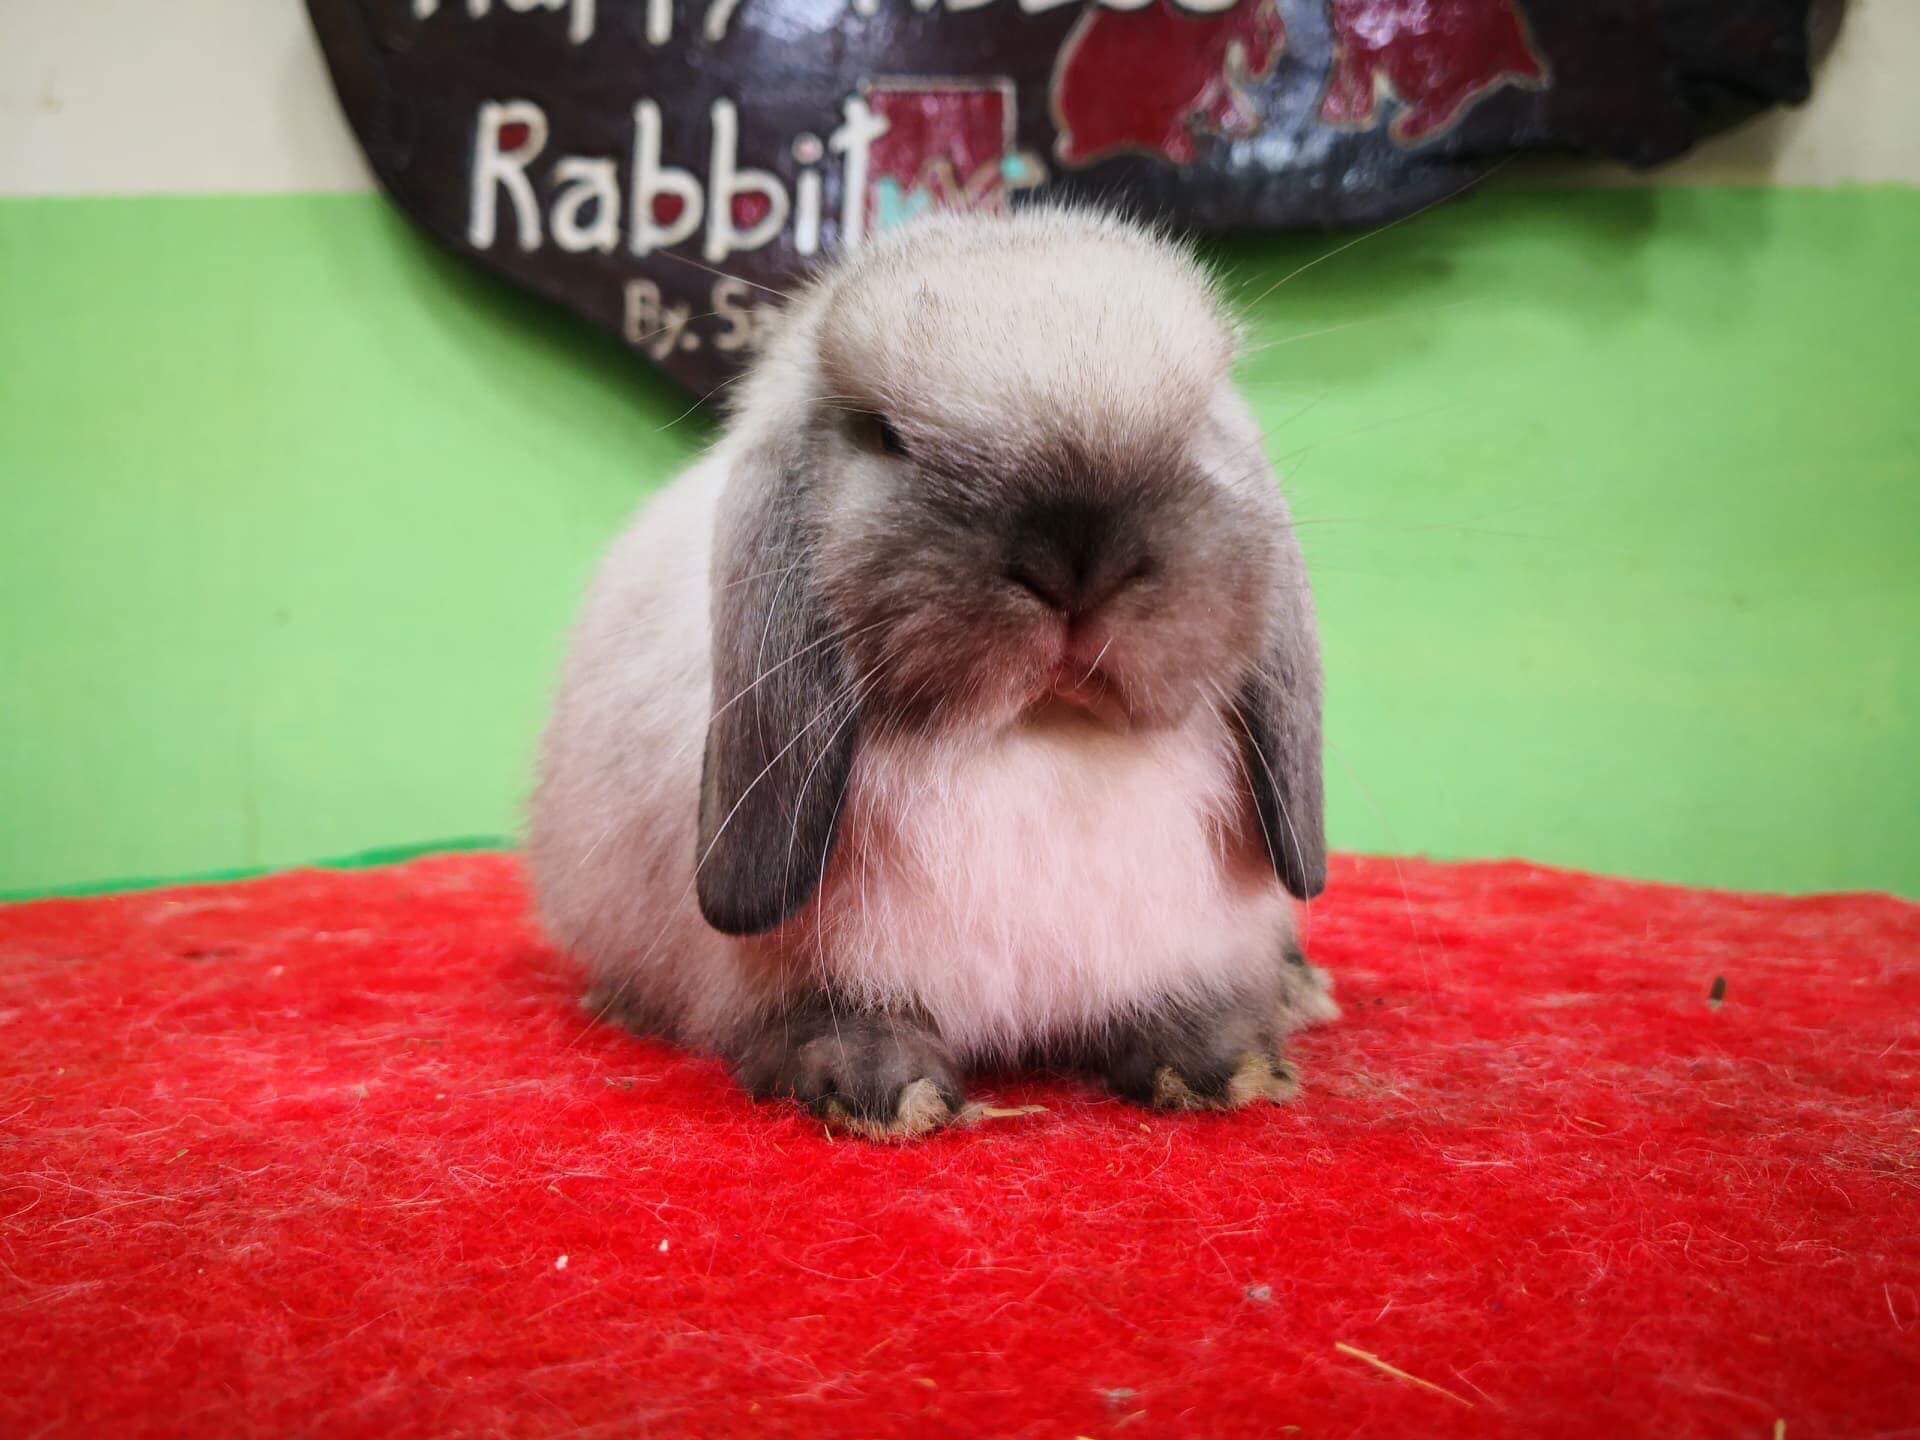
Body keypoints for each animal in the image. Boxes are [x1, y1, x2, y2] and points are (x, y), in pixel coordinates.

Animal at [528, 206, 1335, 1140]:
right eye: (885, 436)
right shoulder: (803, 969)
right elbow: (830, 1017)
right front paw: (884, 1091)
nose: (1076, 564)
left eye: (1198, 421)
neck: (1038, 738)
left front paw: (1222, 1065)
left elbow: (1179, 999)